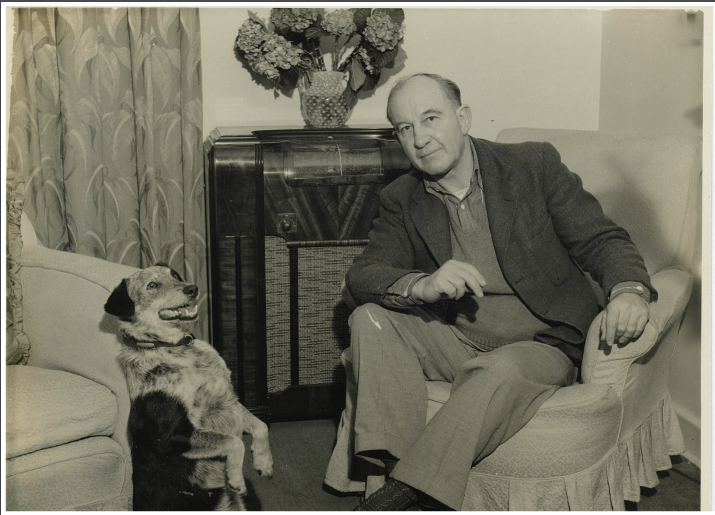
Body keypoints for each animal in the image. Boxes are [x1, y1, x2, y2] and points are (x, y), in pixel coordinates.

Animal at [104, 266, 274, 512]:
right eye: (152, 285)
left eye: (174, 275)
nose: (192, 289)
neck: (173, 347)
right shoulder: (171, 436)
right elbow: (235, 442)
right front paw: (236, 478)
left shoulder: (228, 399)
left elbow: (261, 426)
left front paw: (264, 461)